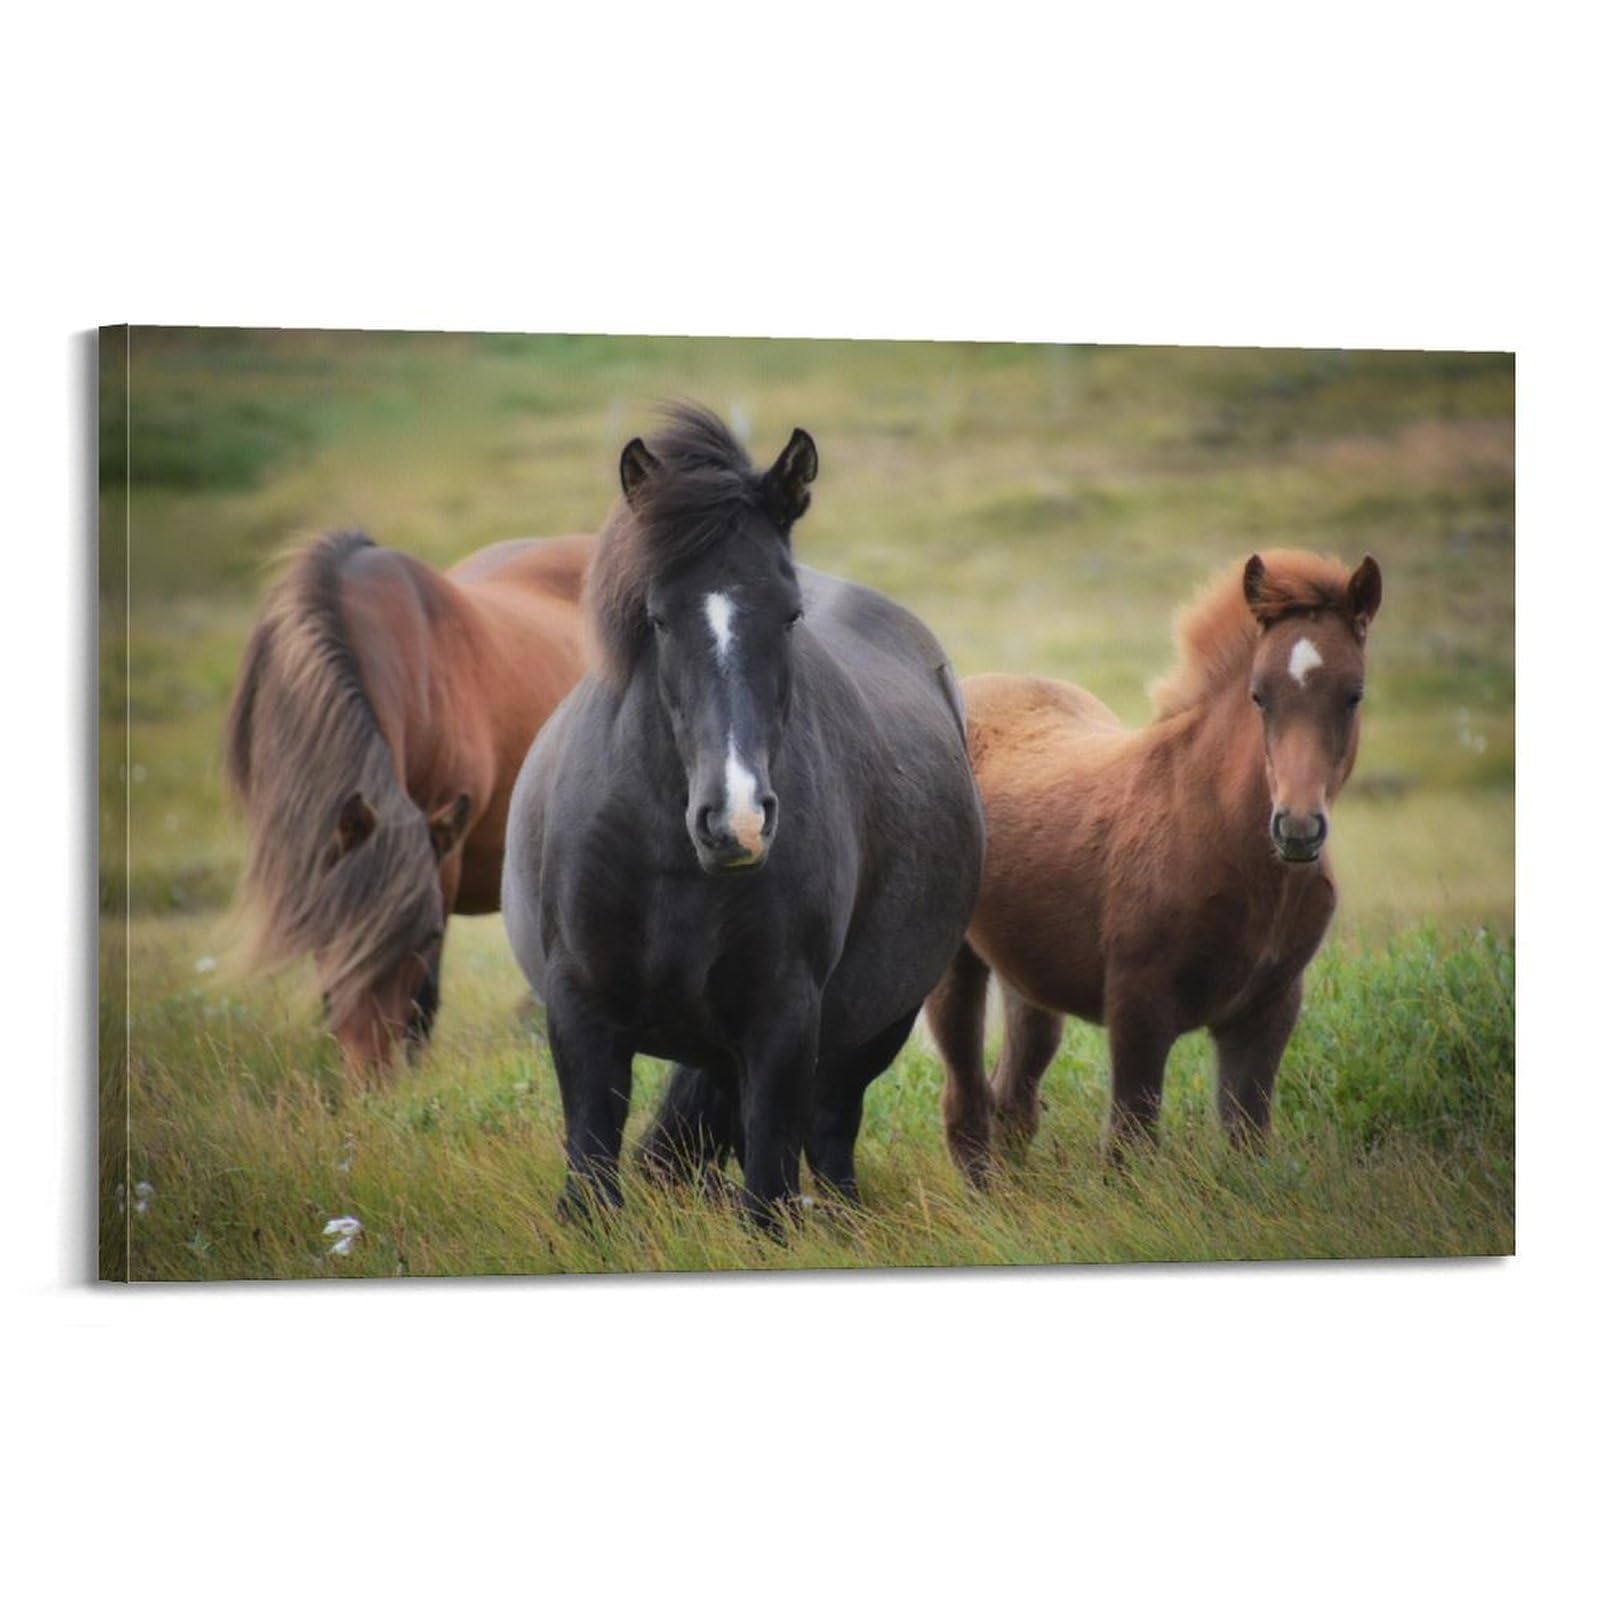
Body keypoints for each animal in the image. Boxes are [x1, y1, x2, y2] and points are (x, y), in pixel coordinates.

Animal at [502, 404, 985, 1229]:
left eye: (789, 616)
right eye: (658, 618)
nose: (738, 822)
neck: (668, 860)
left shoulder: (783, 1021)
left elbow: (767, 1195)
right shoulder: (580, 1013)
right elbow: (591, 1181)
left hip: (873, 1027)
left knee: (829, 1137)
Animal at [926, 549, 1382, 1182]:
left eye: (1354, 694)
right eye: (1259, 695)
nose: (1296, 829)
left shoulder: (1267, 1011)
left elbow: (1247, 1139)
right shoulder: (1138, 1007)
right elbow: (1129, 1145)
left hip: (1029, 977)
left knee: (1012, 1097)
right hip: (953, 966)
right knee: (965, 1102)